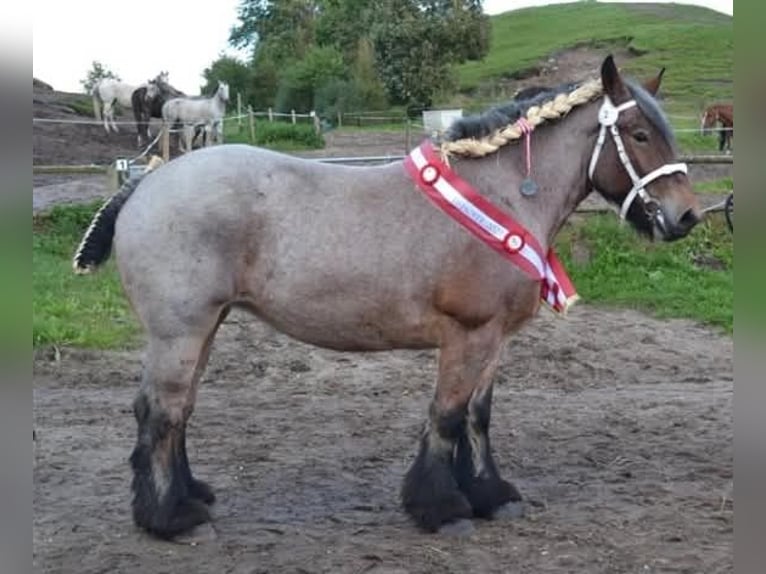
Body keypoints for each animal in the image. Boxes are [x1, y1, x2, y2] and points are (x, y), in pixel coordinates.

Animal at [72, 55, 702, 541]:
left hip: (206, 326)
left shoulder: (494, 339)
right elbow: (447, 416)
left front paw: (492, 495)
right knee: (160, 412)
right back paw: (170, 519)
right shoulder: (468, 335)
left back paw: (190, 497)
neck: (501, 196)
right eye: (640, 135)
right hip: (179, 331)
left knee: (178, 412)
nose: (687, 217)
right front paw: (442, 508)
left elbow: (478, 417)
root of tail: (147, 183)